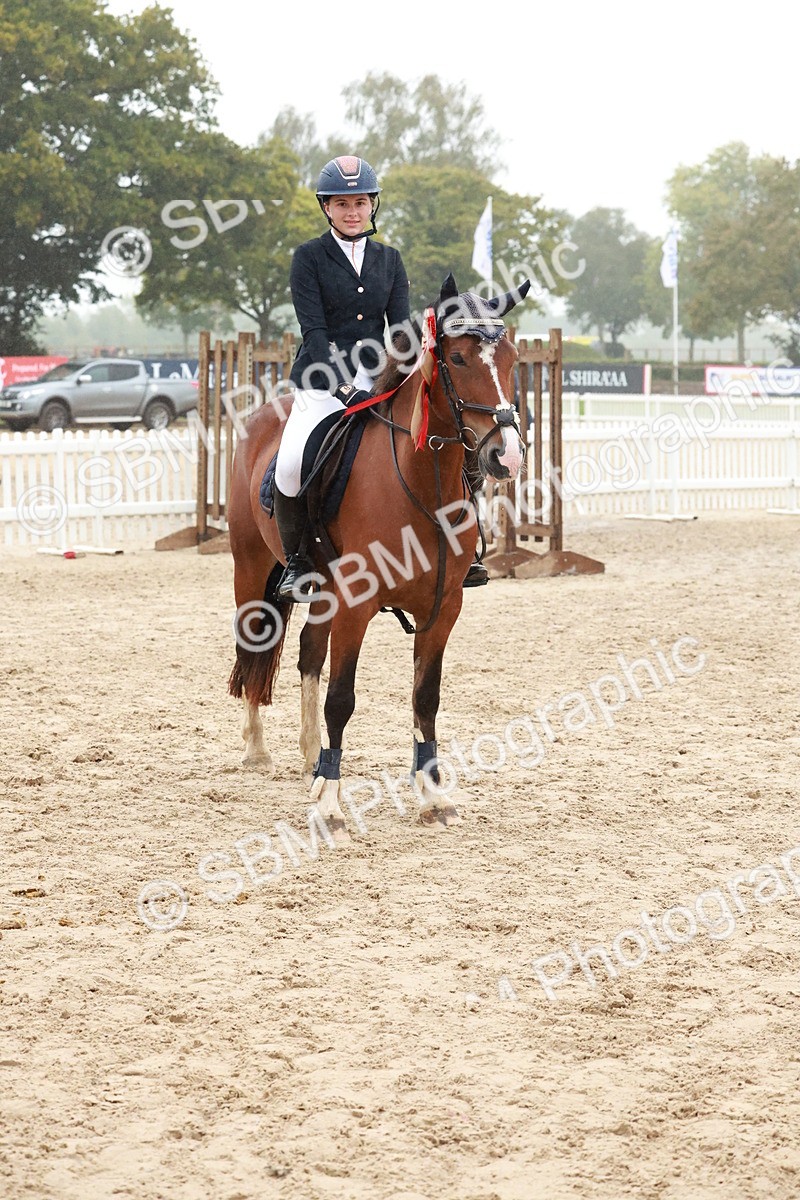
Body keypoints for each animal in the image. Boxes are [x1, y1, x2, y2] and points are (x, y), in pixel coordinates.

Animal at [226, 272, 530, 839]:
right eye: (458, 359)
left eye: (512, 358)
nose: (507, 457)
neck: (421, 484)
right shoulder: (356, 605)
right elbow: (342, 699)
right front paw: (330, 807)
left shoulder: (443, 608)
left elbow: (425, 698)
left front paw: (432, 796)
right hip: (253, 568)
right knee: (255, 643)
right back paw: (258, 749)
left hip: (322, 591)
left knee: (306, 652)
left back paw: (311, 760)